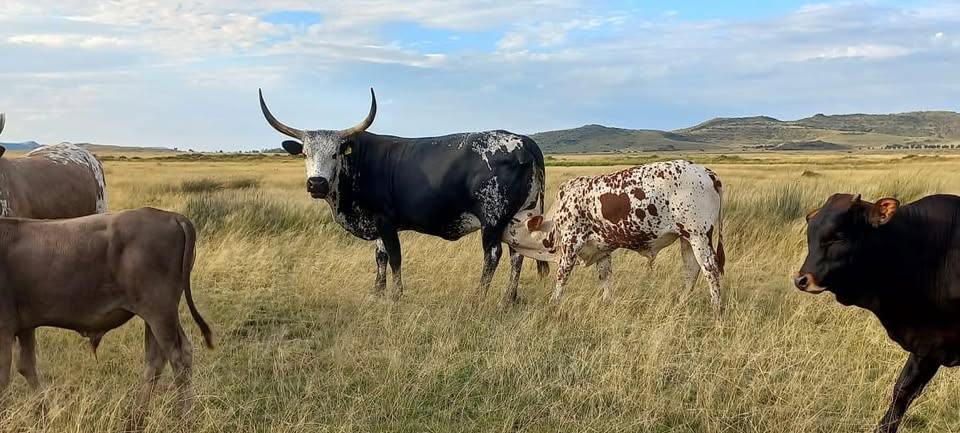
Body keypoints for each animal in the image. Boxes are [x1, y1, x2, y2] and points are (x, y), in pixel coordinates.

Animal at [0, 208, 213, 431]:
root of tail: (172, 216)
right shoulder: (24, 325)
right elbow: (26, 366)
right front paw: (44, 415)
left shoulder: (4, 328)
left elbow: (4, 376)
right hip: (158, 315)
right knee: (157, 360)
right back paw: (135, 419)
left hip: (159, 312)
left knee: (179, 359)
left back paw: (185, 421)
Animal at [259, 89, 548, 304]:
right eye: (305, 153)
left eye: (335, 153)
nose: (316, 183)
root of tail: (523, 141)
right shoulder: (376, 224)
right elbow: (380, 257)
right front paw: (377, 292)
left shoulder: (386, 221)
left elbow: (395, 257)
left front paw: (397, 295)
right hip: (520, 216)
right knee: (517, 254)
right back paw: (508, 299)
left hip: (493, 218)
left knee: (493, 254)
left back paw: (478, 298)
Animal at [503, 160, 725, 316]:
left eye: (512, 220)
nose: (498, 225)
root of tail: (706, 171)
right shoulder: (601, 249)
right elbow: (605, 276)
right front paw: (607, 302)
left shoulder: (571, 244)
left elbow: (561, 276)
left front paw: (553, 304)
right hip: (686, 239)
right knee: (691, 269)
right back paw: (681, 303)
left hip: (699, 236)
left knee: (710, 269)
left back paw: (717, 310)